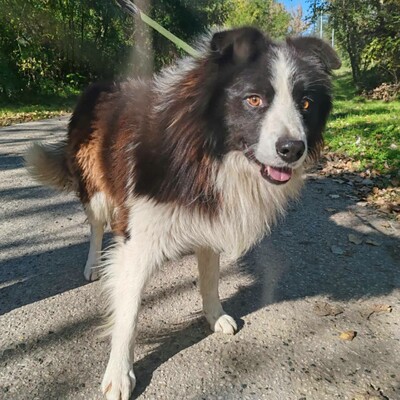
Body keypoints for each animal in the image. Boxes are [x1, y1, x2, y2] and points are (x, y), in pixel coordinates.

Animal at [25, 26, 340, 398]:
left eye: (305, 104)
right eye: (253, 100)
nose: (293, 149)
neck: (205, 151)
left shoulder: (210, 220)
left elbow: (210, 279)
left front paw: (215, 316)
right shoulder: (137, 241)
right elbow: (128, 311)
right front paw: (119, 374)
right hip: (97, 188)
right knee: (97, 226)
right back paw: (93, 264)